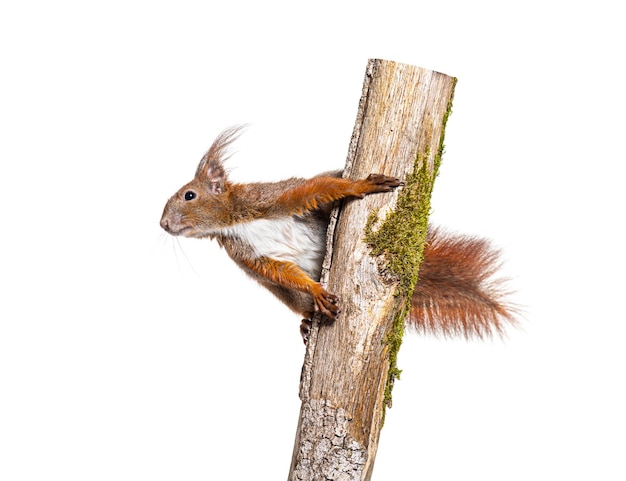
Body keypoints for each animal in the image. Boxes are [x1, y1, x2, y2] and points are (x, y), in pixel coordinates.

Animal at [161, 125, 516, 340]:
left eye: (189, 195)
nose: (163, 224)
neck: (235, 221)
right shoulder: (248, 255)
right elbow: (280, 271)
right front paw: (315, 292)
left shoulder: (270, 199)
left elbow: (316, 189)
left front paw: (361, 186)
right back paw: (307, 320)